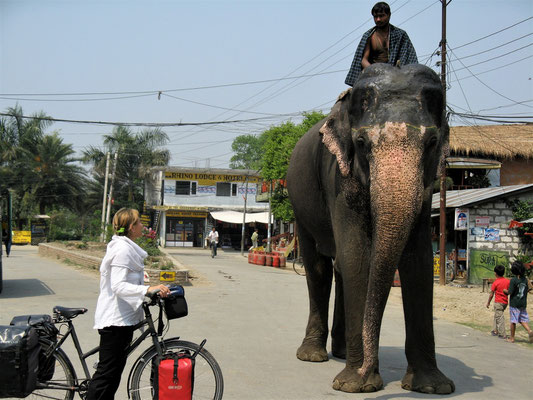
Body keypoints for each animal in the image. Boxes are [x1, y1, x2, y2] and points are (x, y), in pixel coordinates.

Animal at [286, 64, 454, 396]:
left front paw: (432, 387)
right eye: (362, 144)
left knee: (339, 267)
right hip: (301, 204)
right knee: (319, 267)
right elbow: (358, 257)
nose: (367, 368)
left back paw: (339, 353)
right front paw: (356, 385)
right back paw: (313, 356)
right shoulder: (339, 178)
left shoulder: (426, 190)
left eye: (431, 143)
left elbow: (418, 262)